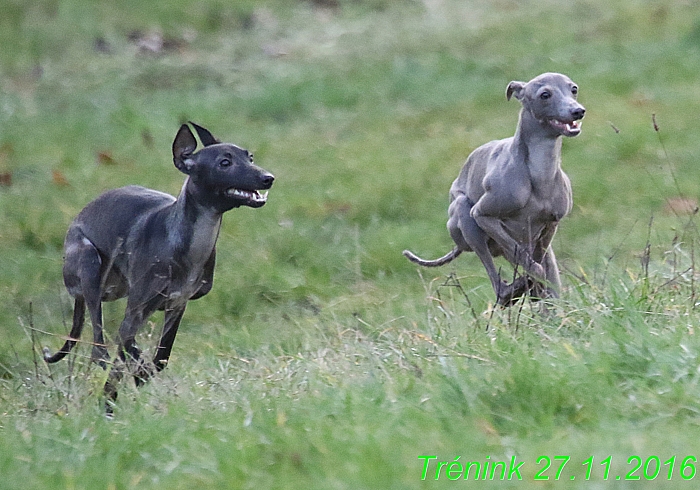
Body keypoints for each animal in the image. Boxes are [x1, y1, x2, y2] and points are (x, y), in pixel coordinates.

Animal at [402, 72, 584, 306]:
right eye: (545, 94)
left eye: (573, 89)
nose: (578, 111)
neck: (539, 173)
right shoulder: (482, 215)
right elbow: (533, 267)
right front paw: (529, 280)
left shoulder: (551, 224)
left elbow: (539, 268)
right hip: (465, 218)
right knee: (499, 286)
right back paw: (513, 289)